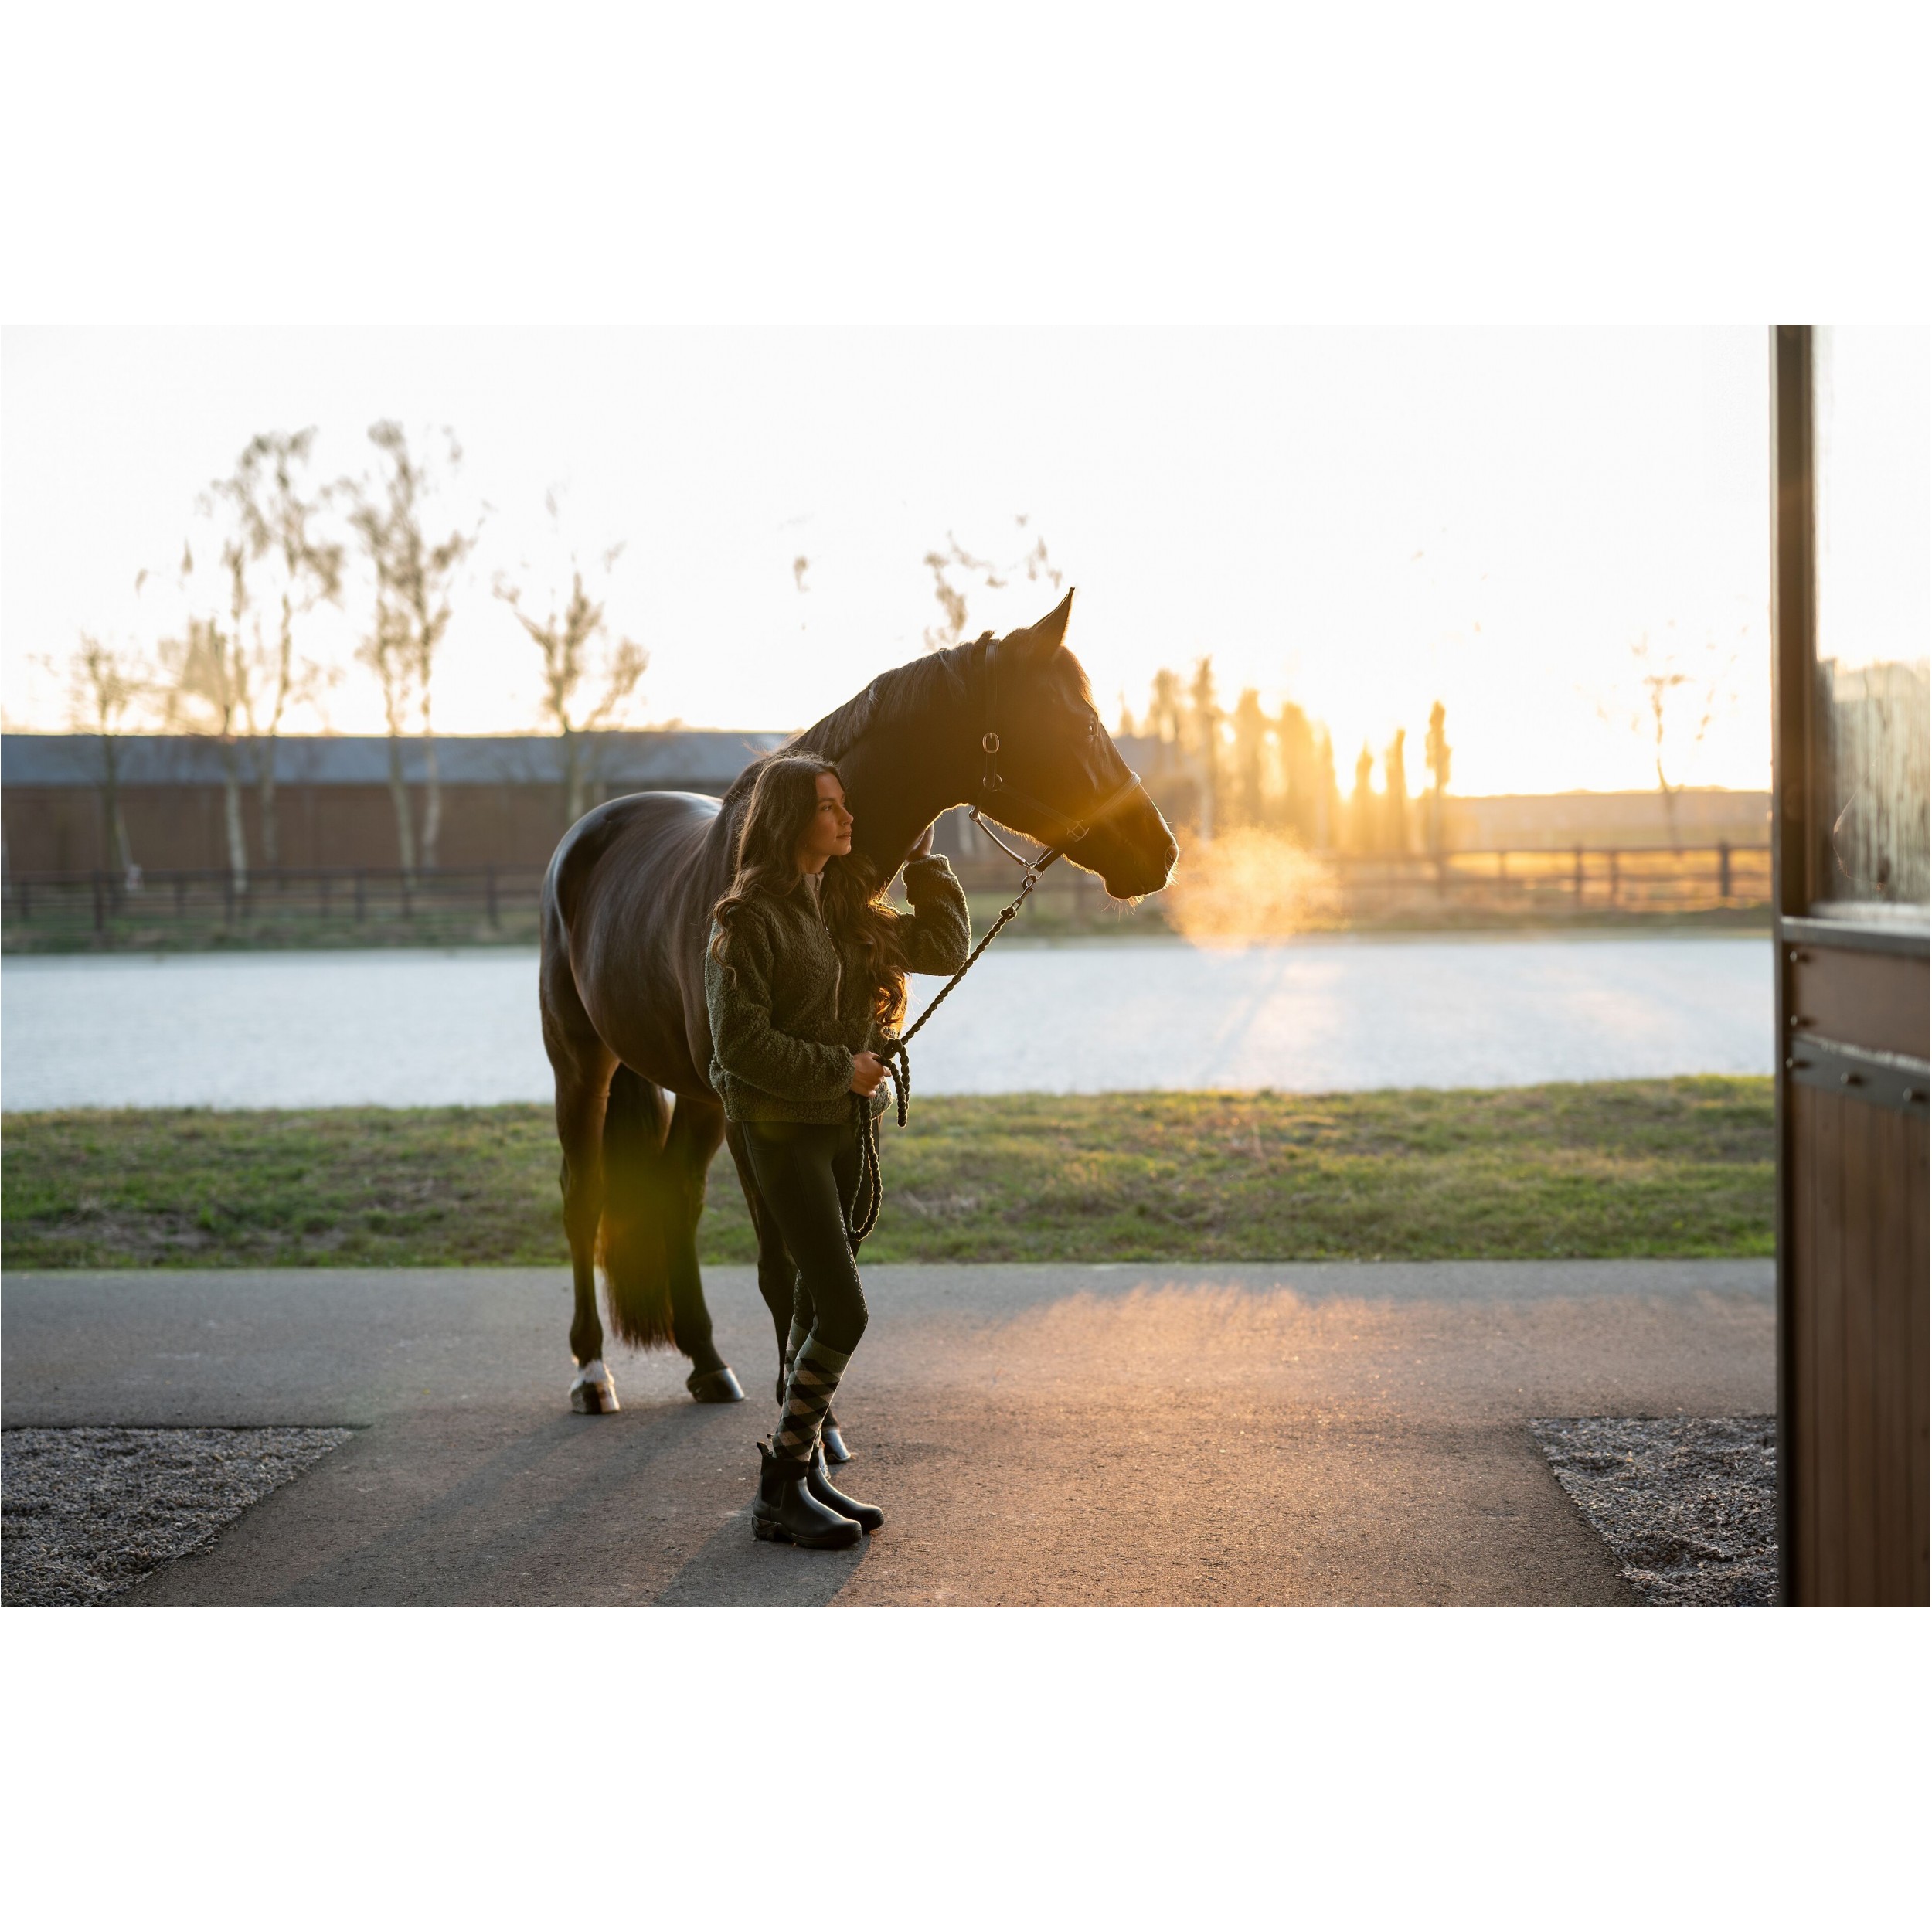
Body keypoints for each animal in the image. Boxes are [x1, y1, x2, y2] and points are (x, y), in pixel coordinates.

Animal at [537, 591, 1182, 1437]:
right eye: (1076, 726)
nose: (1161, 851)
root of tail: (587, 830)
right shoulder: (759, 1118)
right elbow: (784, 1268)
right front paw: (805, 1424)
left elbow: (824, 1262)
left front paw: (812, 1416)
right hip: (583, 1064)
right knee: (583, 1198)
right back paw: (589, 1372)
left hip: (700, 1097)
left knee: (674, 1195)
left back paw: (707, 1362)